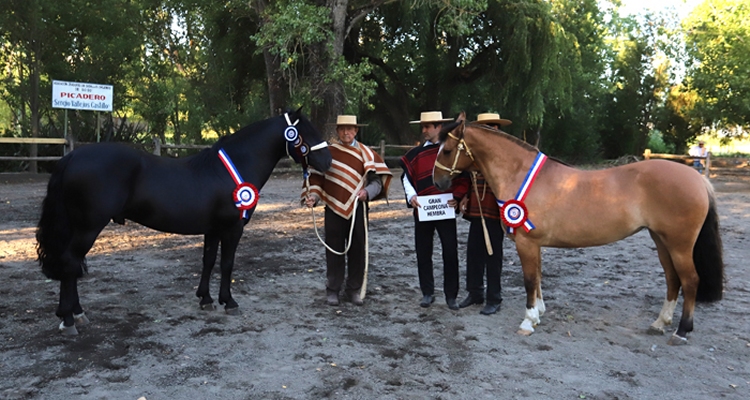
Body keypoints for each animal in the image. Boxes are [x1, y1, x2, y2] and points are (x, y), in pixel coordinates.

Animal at [36, 108, 332, 334]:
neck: (231, 168)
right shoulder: (232, 229)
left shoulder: (213, 230)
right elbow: (227, 264)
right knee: (70, 262)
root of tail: (72, 156)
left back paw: (76, 313)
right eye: (306, 133)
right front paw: (229, 302)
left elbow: (208, 261)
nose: (328, 162)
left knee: (71, 265)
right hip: (88, 227)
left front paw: (206, 299)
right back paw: (69, 319)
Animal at [434, 112, 724, 344]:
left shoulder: (527, 243)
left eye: (447, 150)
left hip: (679, 245)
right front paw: (539, 314)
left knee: (690, 280)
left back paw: (682, 331)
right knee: (672, 279)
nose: (437, 182)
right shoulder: (535, 244)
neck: (521, 175)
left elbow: (529, 280)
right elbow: (538, 278)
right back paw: (660, 323)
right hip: (661, 241)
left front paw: (527, 322)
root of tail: (697, 179)